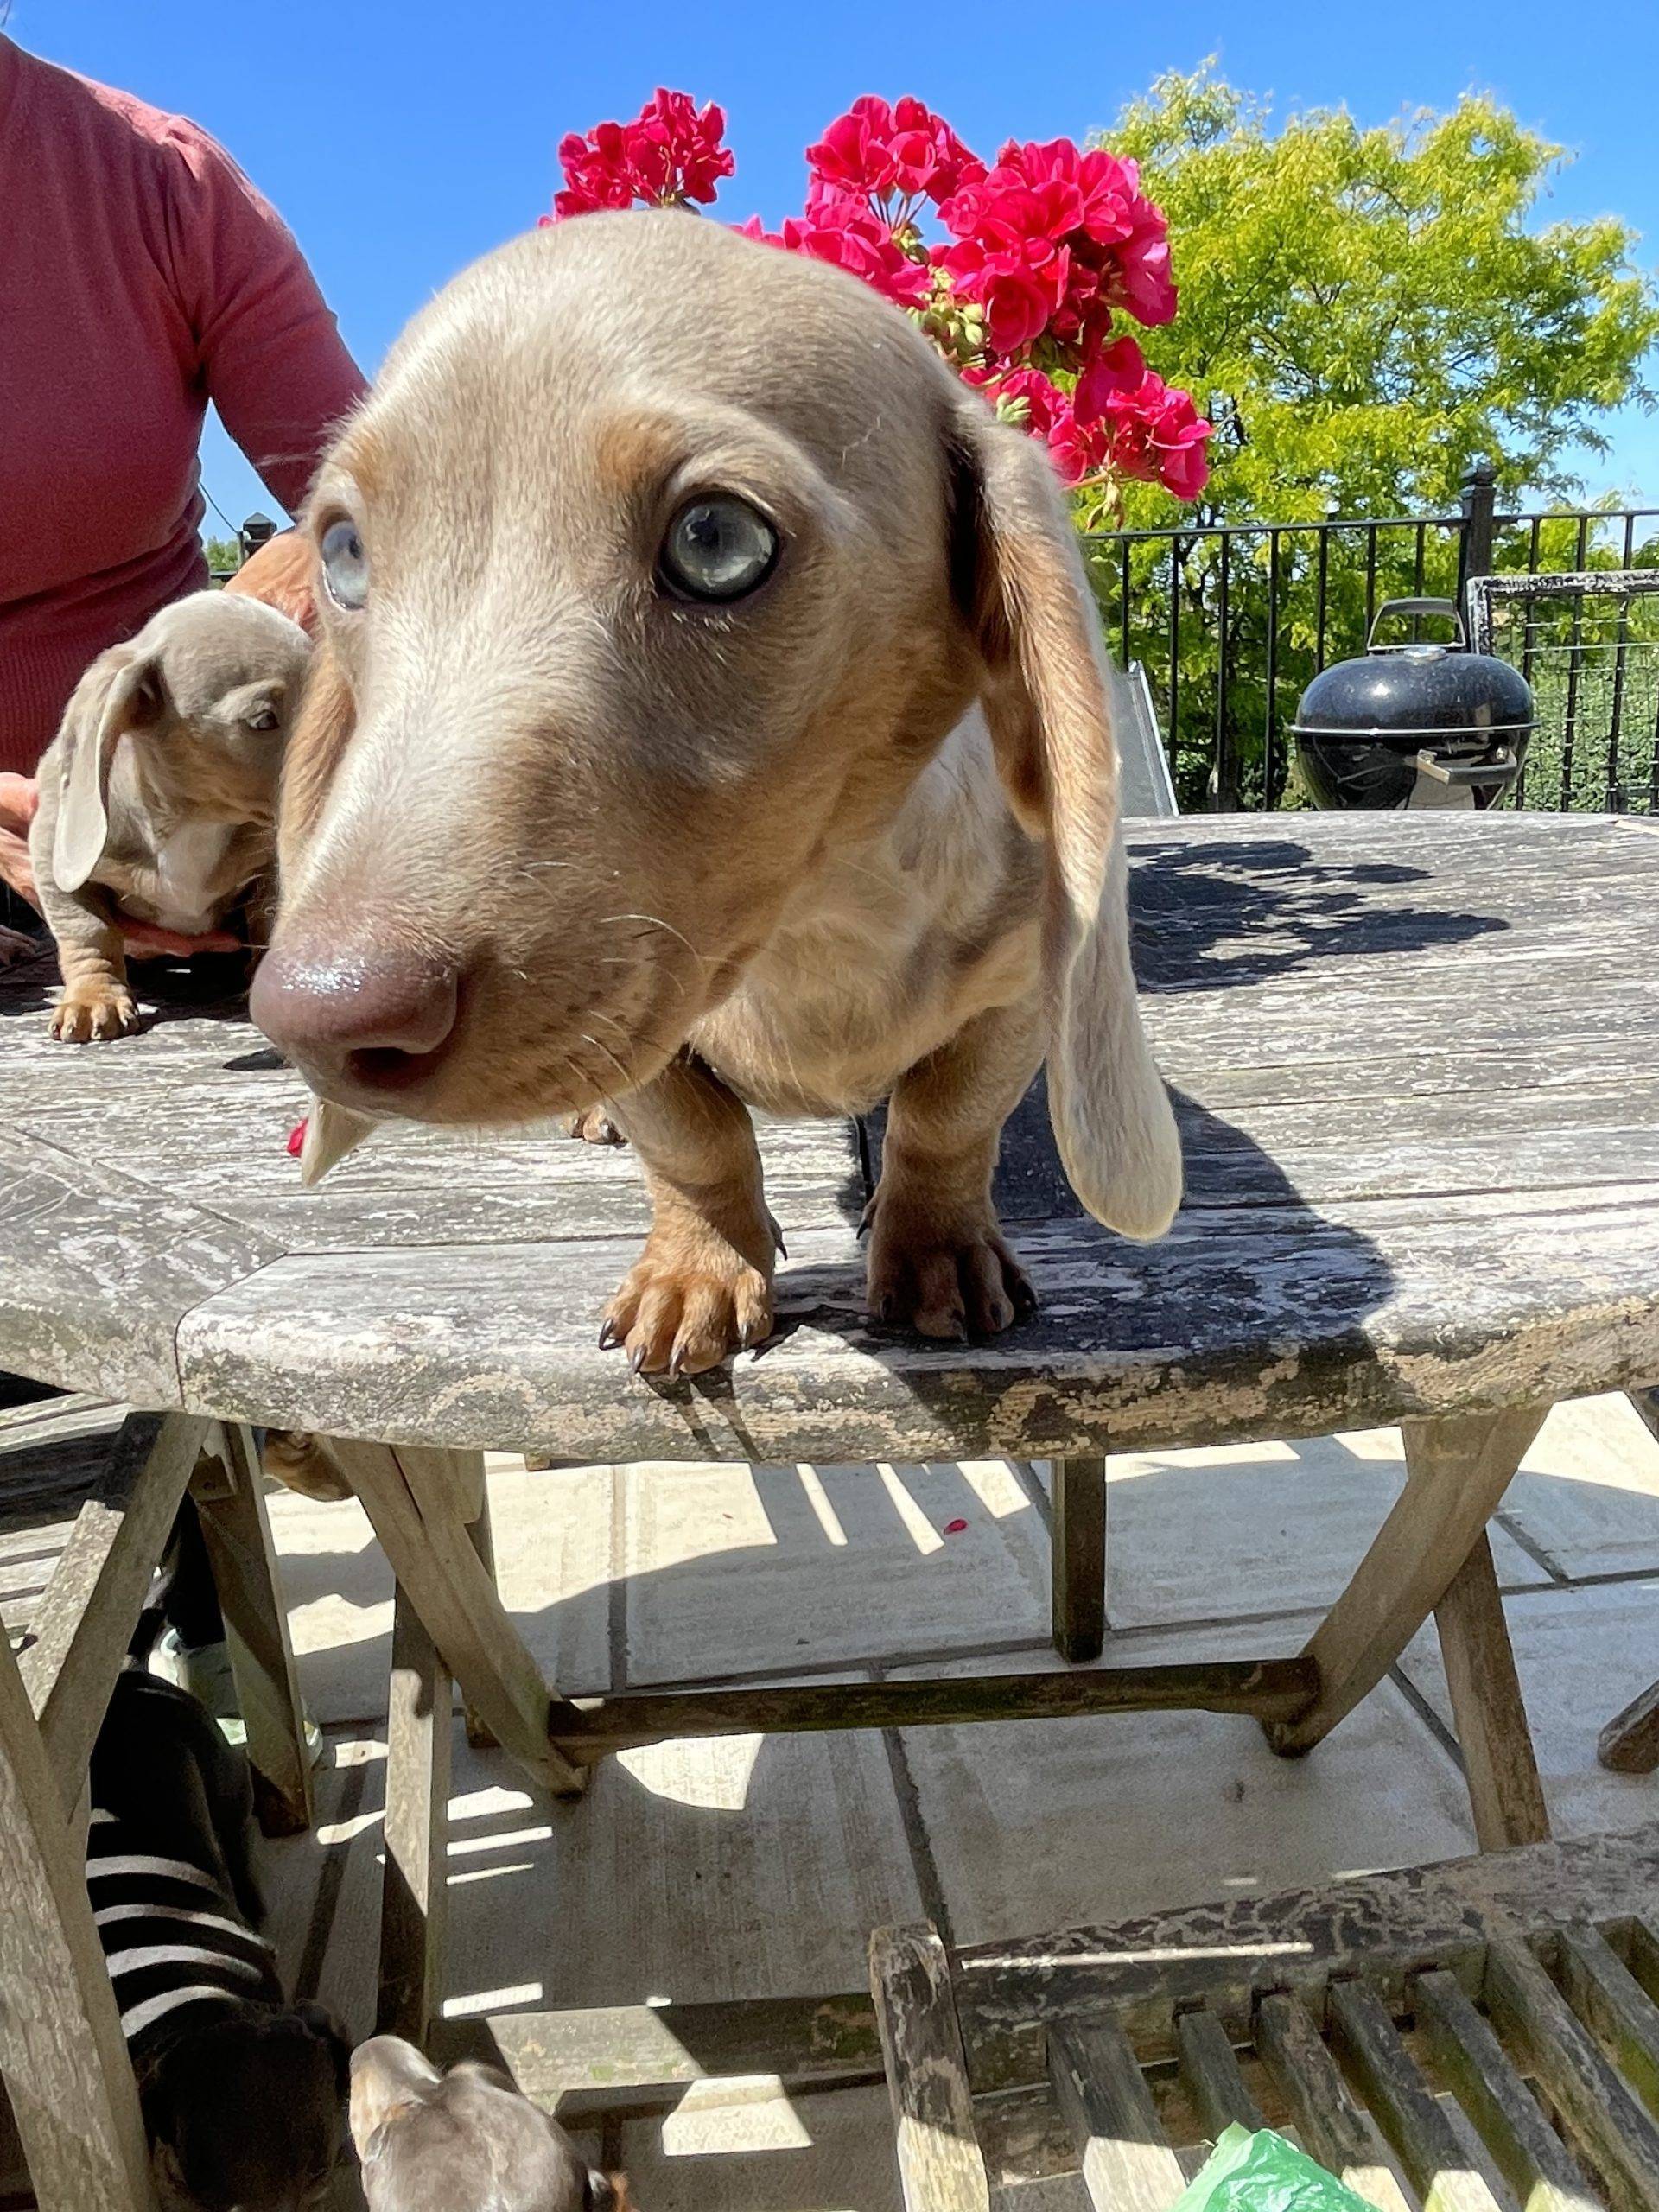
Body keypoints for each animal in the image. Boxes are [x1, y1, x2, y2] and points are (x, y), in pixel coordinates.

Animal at [30, 589, 310, 1041]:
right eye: (263, 720)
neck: (198, 821)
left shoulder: (267, 868)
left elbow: (267, 919)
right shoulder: (49, 854)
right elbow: (88, 930)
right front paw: (93, 998)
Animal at [88, 1669, 349, 2210]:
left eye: (318, 2174)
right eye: (204, 2191)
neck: (198, 2004)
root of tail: (128, 1674)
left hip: (223, 1779)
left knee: (236, 1840)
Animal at [250, 211, 1182, 1375]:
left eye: (716, 541)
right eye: (344, 553)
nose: (318, 1021)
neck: (812, 936)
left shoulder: (1016, 994)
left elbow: (946, 1119)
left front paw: (938, 1254)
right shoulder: (639, 1012)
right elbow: (695, 1139)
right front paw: (699, 1270)